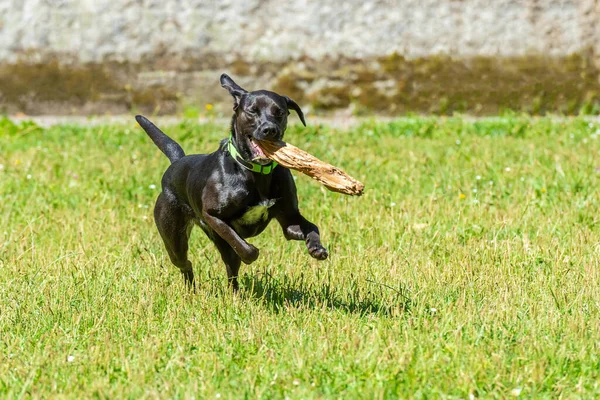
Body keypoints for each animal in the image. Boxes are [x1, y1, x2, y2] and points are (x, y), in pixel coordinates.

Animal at [137, 73, 328, 290]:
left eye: (279, 112)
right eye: (252, 111)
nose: (270, 129)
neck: (256, 173)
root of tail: (177, 162)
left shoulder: (289, 219)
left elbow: (312, 227)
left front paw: (317, 248)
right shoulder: (213, 216)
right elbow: (244, 247)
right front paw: (251, 253)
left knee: (229, 271)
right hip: (174, 236)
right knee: (188, 262)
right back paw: (192, 290)